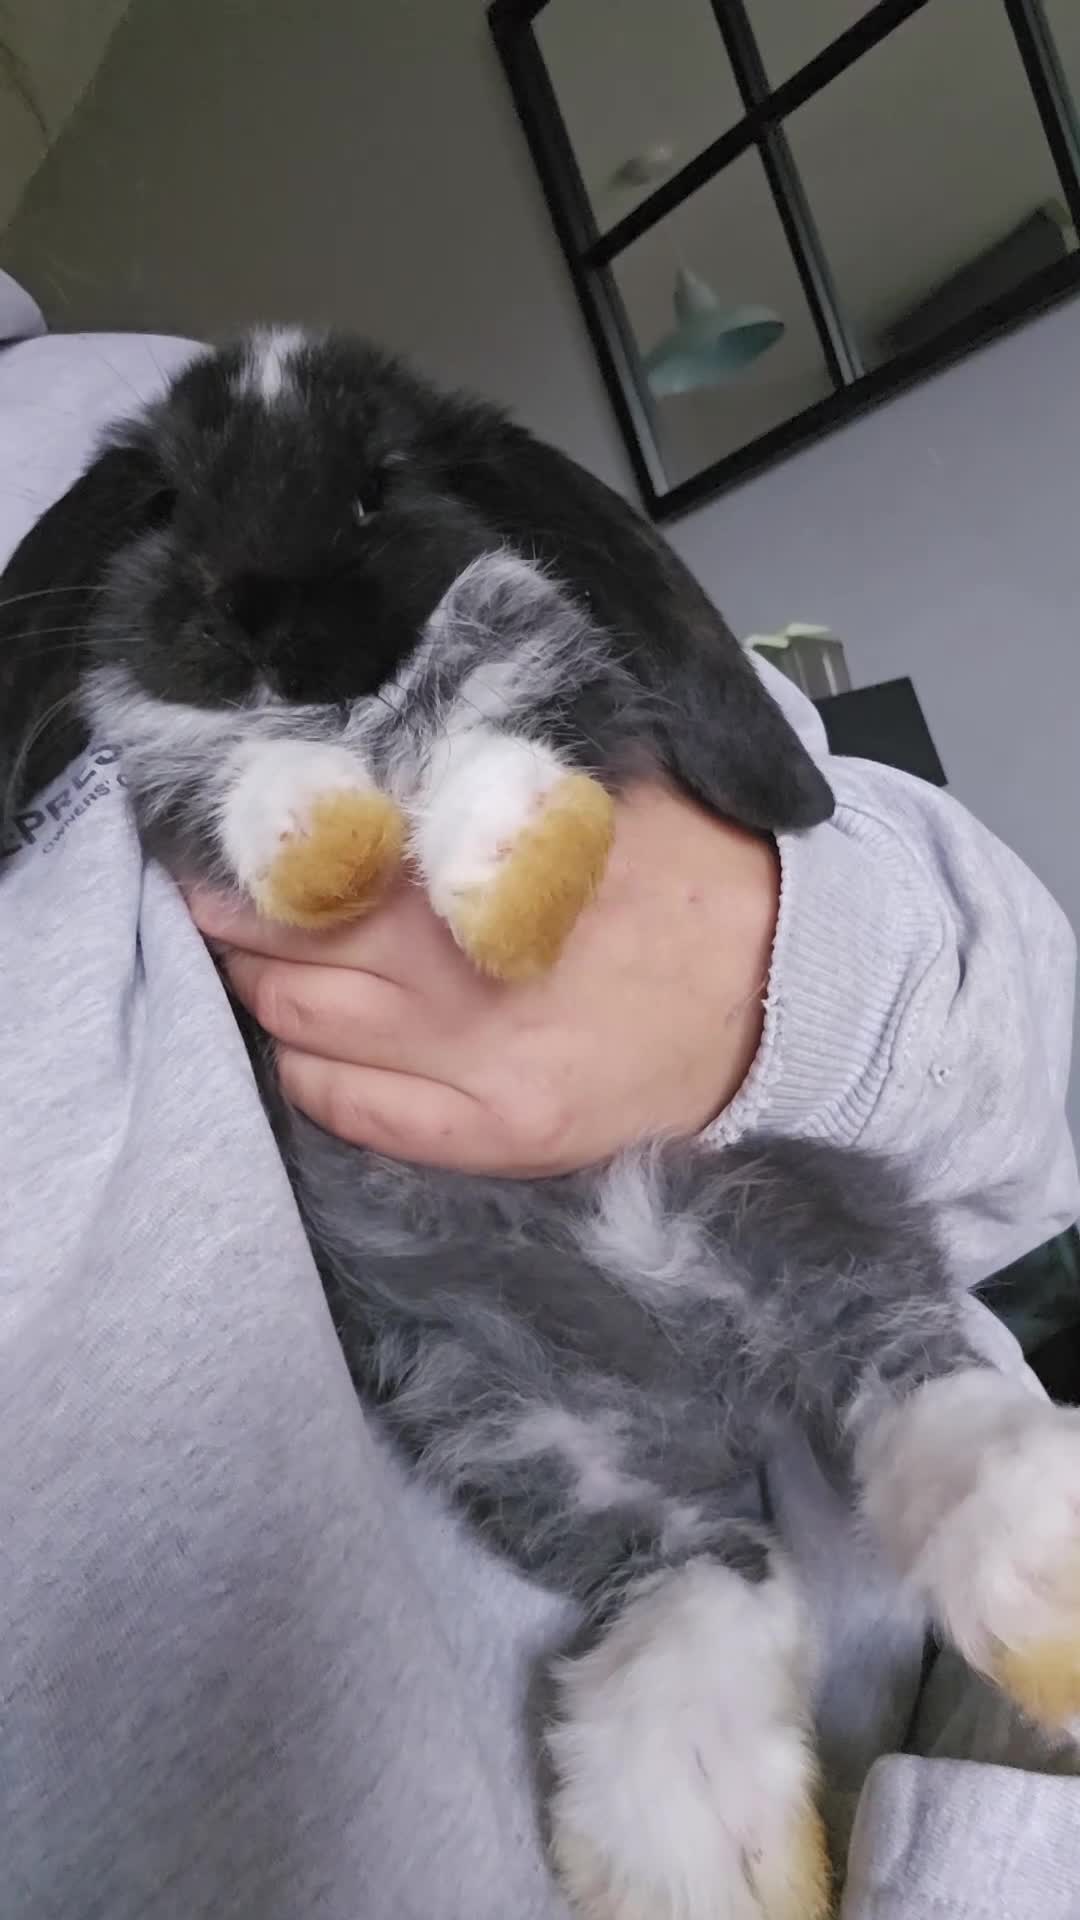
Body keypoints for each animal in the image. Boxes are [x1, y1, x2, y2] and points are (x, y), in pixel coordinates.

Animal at [4, 328, 1080, 1920]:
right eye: (167, 507)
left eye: (382, 485)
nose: (253, 618)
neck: (353, 716)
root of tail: (710, 1391)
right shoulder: (179, 761)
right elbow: (240, 784)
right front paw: (331, 853)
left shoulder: (547, 664)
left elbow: (506, 708)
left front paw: (516, 891)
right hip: (523, 1426)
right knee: (700, 1571)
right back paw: (694, 1851)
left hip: (804, 1228)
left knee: (920, 1388)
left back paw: (1039, 1590)